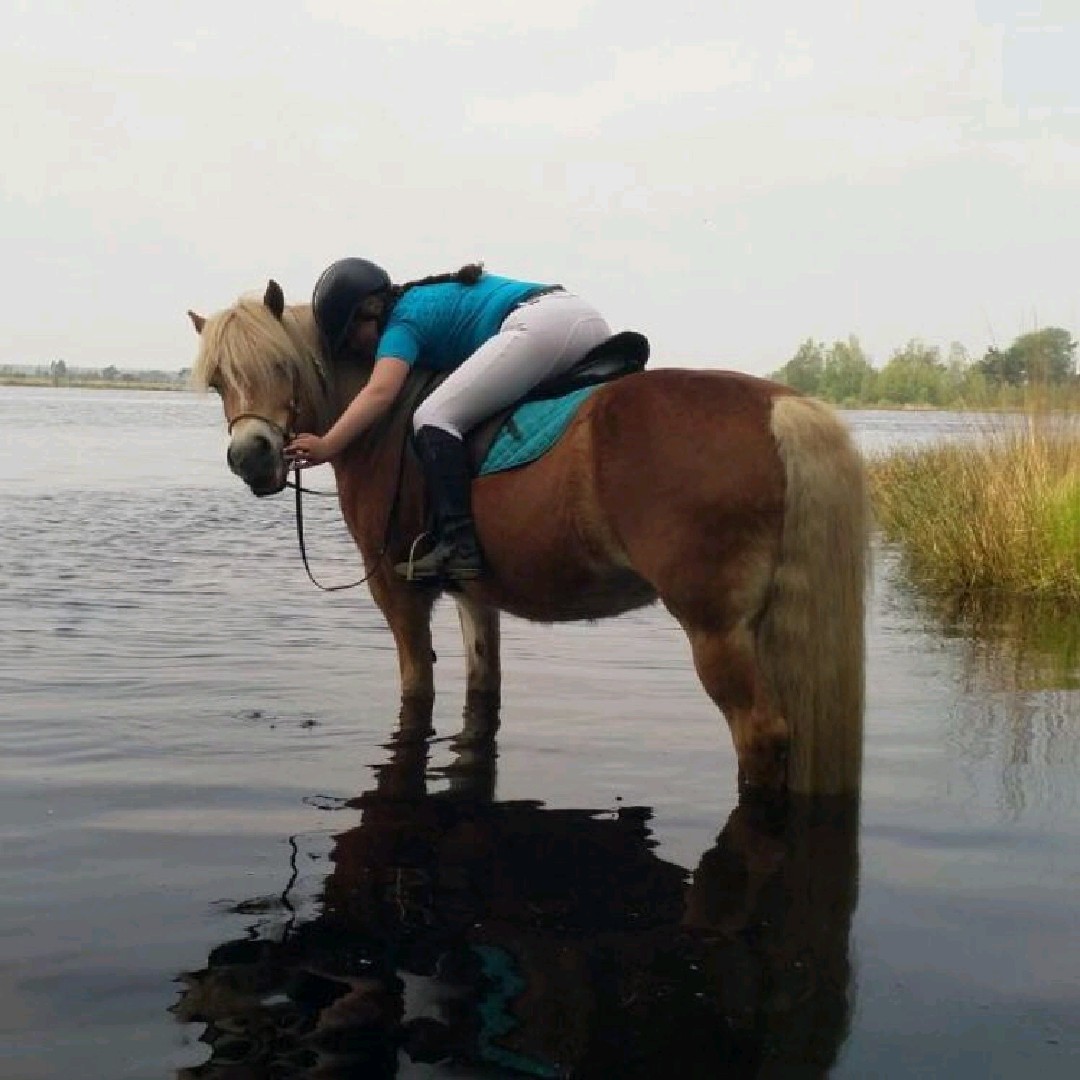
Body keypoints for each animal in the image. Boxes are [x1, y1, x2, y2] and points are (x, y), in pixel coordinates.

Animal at [188, 281, 870, 796]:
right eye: (218, 381)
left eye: (283, 366)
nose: (252, 458)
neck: (381, 426)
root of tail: (778, 406)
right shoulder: (474, 595)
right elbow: (481, 689)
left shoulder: (396, 593)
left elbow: (417, 689)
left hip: (716, 629)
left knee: (758, 732)